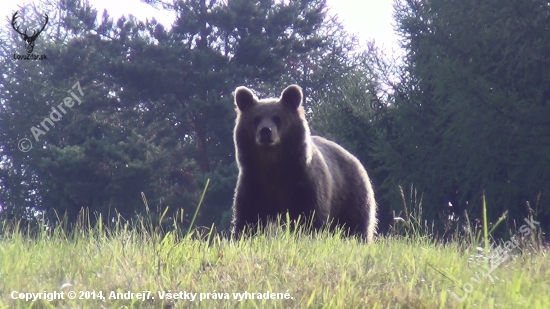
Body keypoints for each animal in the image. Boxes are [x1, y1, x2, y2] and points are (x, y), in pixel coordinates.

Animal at [230, 83, 380, 241]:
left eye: (277, 118)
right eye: (256, 118)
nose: (265, 131)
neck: (273, 164)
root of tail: (355, 159)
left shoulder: (302, 182)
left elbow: (309, 217)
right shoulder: (254, 181)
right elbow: (249, 217)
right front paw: (242, 235)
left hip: (351, 194)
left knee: (355, 225)